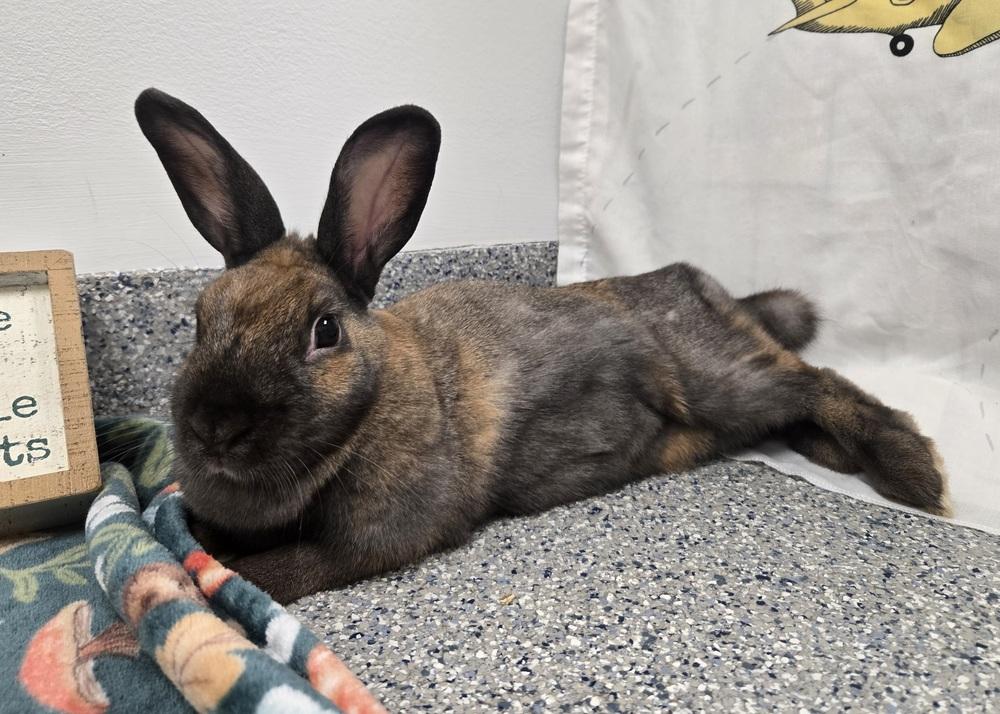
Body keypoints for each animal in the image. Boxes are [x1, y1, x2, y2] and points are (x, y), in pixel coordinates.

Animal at [135, 88, 950, 604]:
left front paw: (211, 573)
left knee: (818, 380)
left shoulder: (375, 540)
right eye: (200, 319)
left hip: (723, 377)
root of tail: (713, 290)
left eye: (324, 331)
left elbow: (275, 574)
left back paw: (916, 473)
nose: (214, 427)